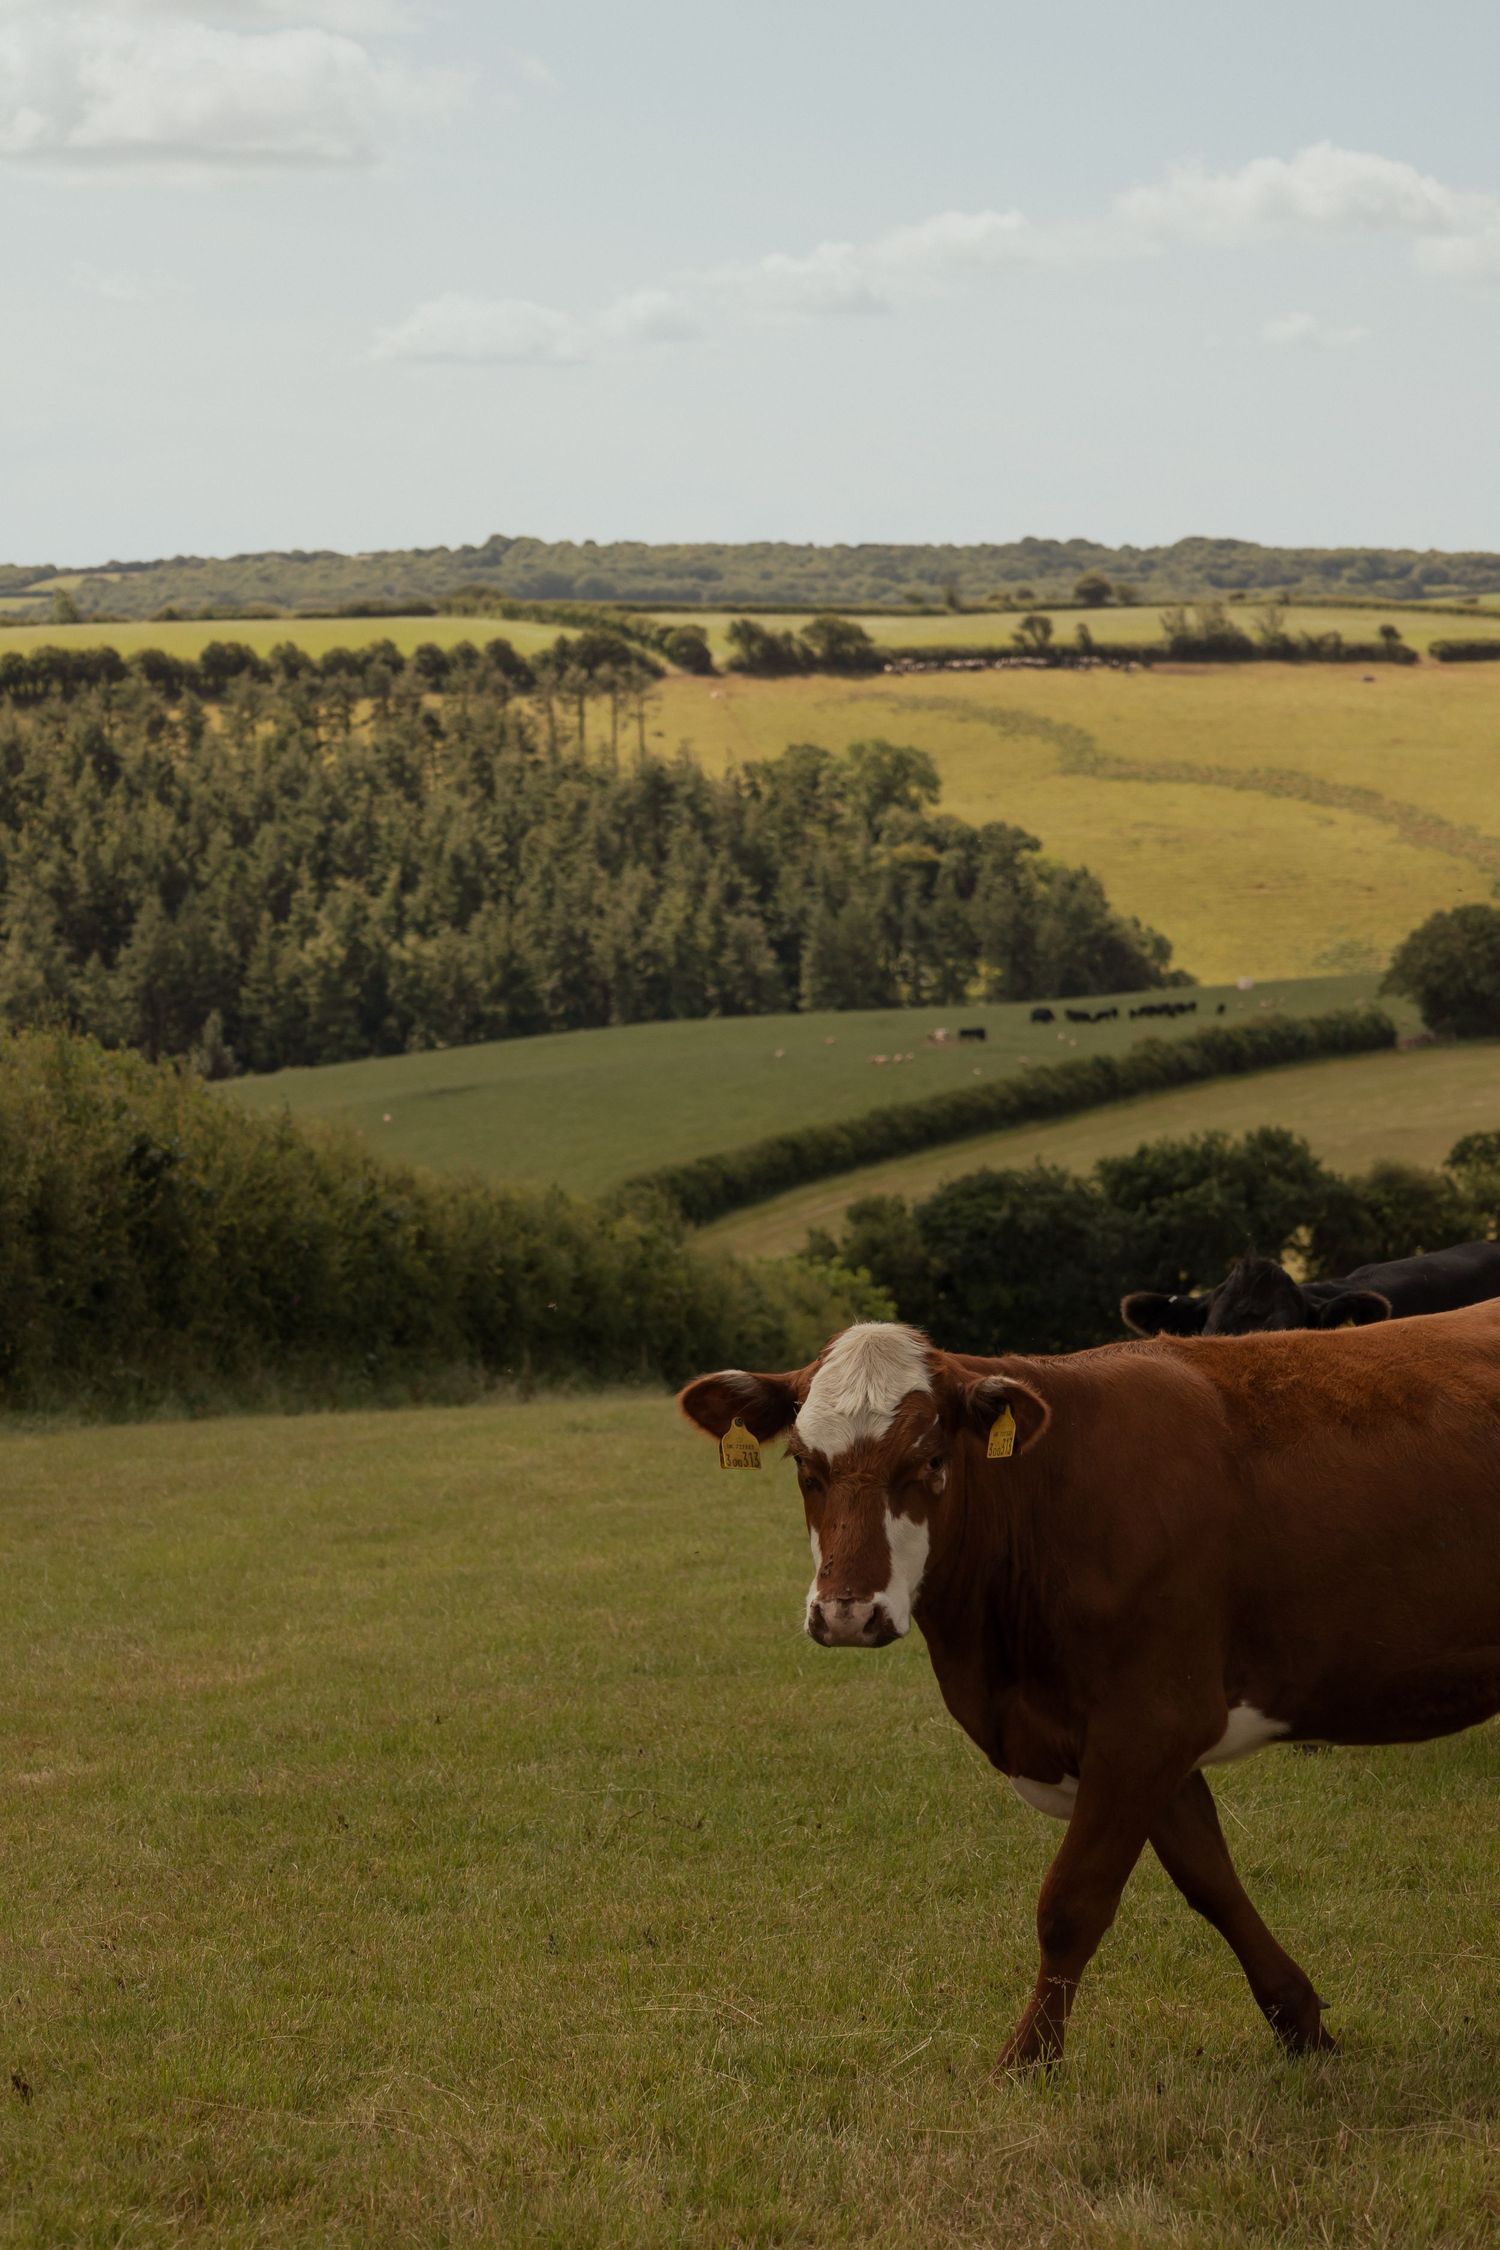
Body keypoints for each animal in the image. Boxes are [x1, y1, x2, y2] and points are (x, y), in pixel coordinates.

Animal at [679, 1313, 1500, 2070]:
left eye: (931, 1459)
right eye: (803, 1463)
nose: (846, 1613)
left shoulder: (1152, 1721)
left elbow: (1072, 1902)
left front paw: (1027, 2061)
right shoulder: (1141, 1744)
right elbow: (1210, 1880)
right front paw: (1301, 2023)